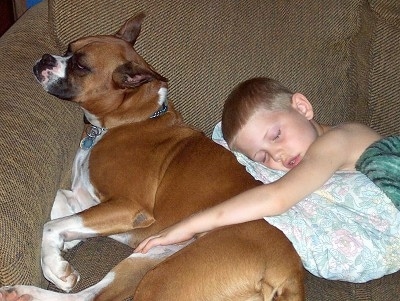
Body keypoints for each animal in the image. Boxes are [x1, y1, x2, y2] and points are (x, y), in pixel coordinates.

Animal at [0, 13, 304, 300]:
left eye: (81, 66)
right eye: (68, 48)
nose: (45, 58)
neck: (129, 119)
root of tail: (288, 274)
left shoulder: (128, 206)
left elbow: (51, 225)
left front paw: (54, 263)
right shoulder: (87, 199)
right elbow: (60, 202)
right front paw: (63, 248)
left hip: (166, 277)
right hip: (150, 256)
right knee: (93, 295)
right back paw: (24, 293)